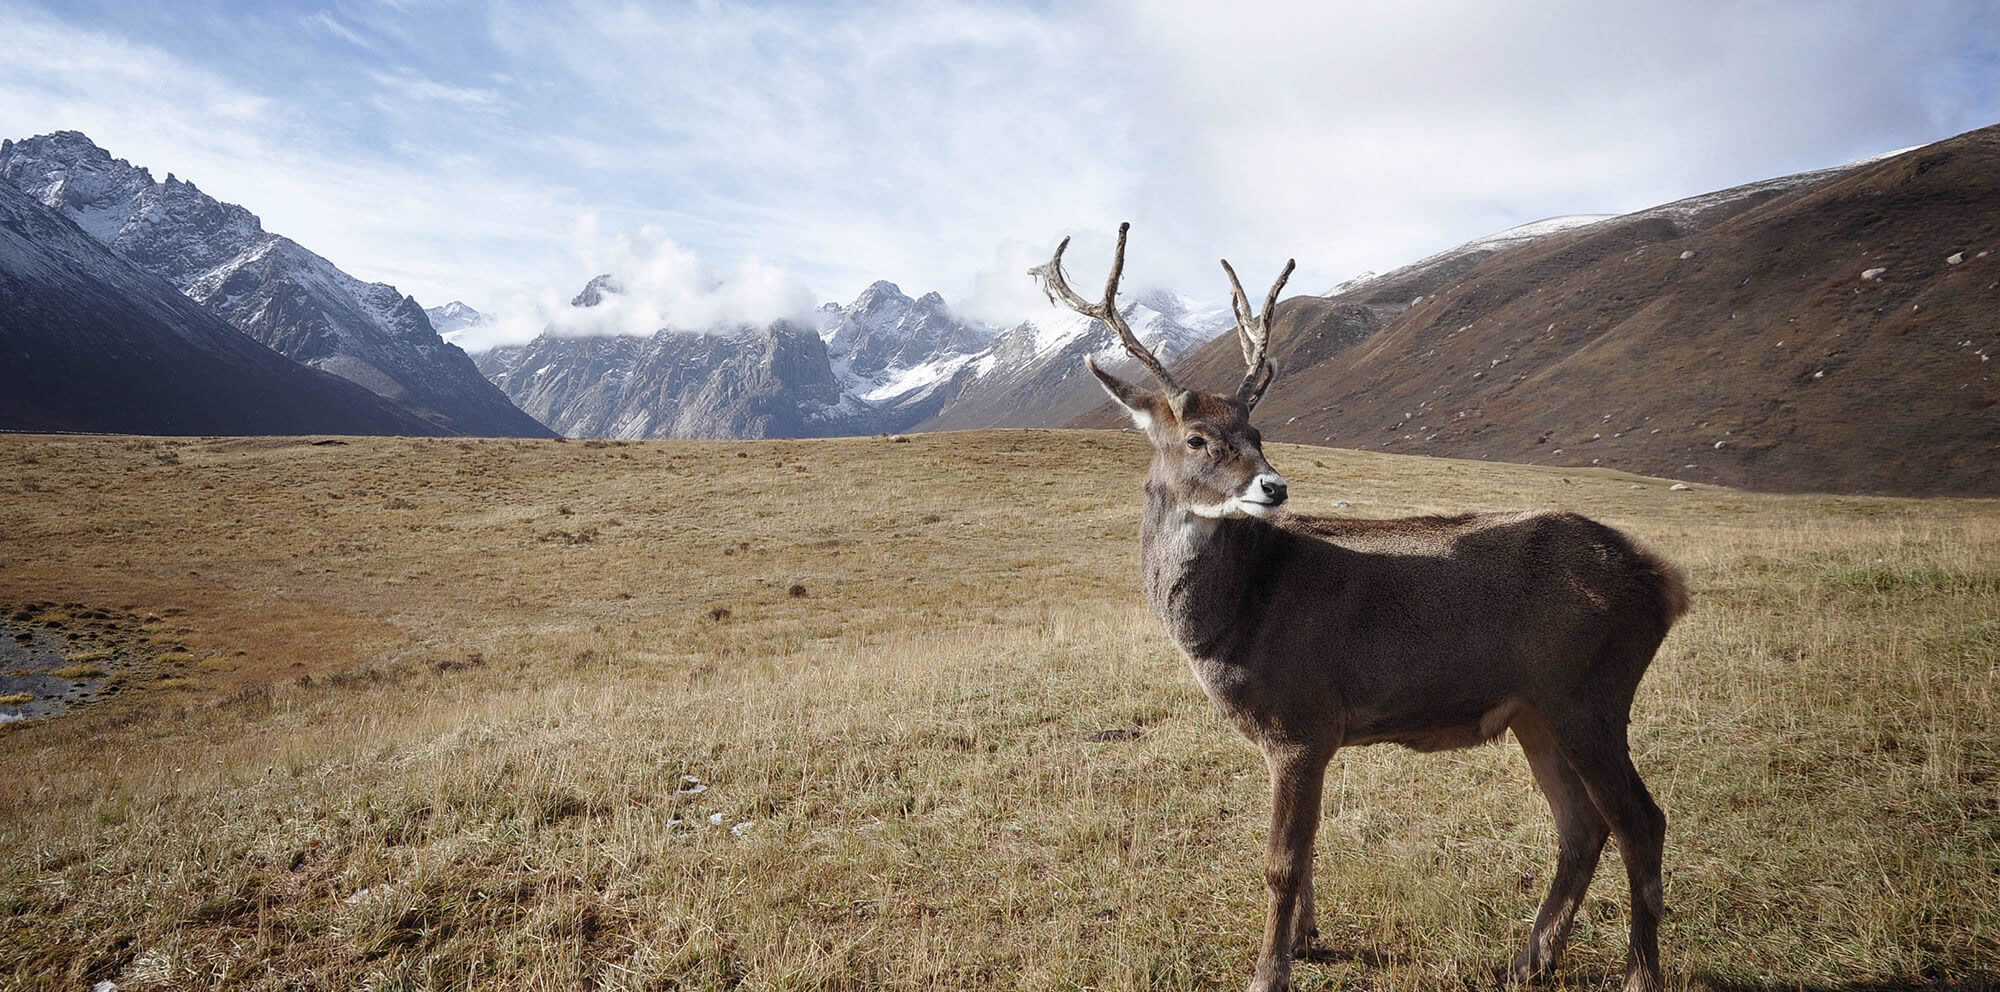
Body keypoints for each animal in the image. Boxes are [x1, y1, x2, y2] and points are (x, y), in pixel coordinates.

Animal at [1033, 223, 1690, 992]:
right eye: (1197, 438)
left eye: (1258, 434)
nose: (1274, 487)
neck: (1236, 618)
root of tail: (1664, 582)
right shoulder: (1310, 735)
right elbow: (1309, 849)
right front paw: (1307, 938)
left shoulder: (1301, 719)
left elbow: (1281, 862)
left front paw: (1269, 971)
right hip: (1539, 709)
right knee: (1582, 826)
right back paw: (1531, 960)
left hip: (1590, 692)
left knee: (1642, 821)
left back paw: (1638, 972)